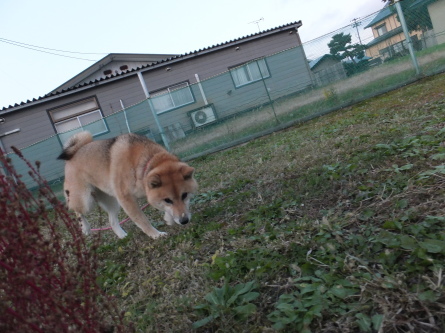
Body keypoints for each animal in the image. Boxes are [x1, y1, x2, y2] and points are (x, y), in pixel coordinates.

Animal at [57, 131, 198, 237]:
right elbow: (142, 221)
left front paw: (169, 219)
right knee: (74, 210)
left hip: (112, 202)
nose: (184, 220)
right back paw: (85, 227)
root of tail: (74, 153)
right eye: (168, 200)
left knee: (112, 221)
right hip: (86, 201)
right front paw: (156, 235)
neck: (145, 163)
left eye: (184, 195)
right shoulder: (127, 199)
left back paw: (122, 236)